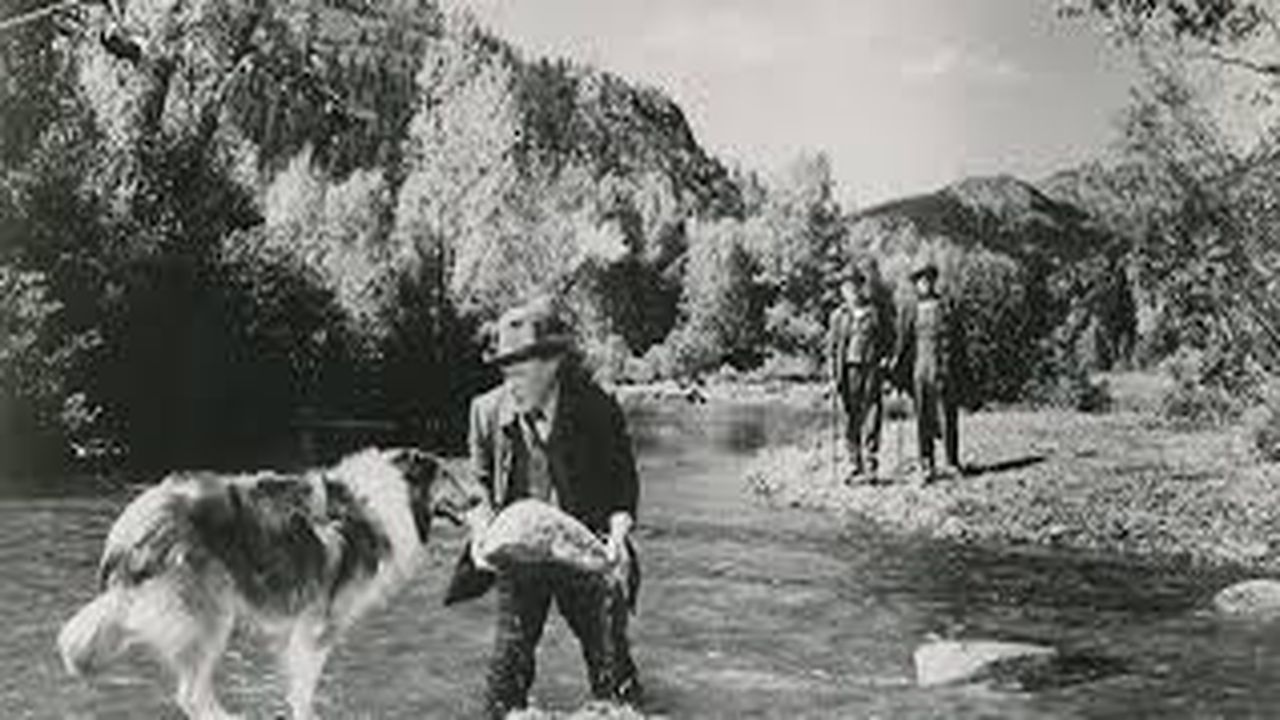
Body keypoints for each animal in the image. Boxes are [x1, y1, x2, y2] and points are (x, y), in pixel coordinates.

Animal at [57, 447, 472, 720]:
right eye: (447, 475)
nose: (478, 498)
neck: (393, 495)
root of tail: (128, 531)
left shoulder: (300, 627)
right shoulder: (318, 626)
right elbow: (304, 691)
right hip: (210, 614)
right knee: (191, 695)